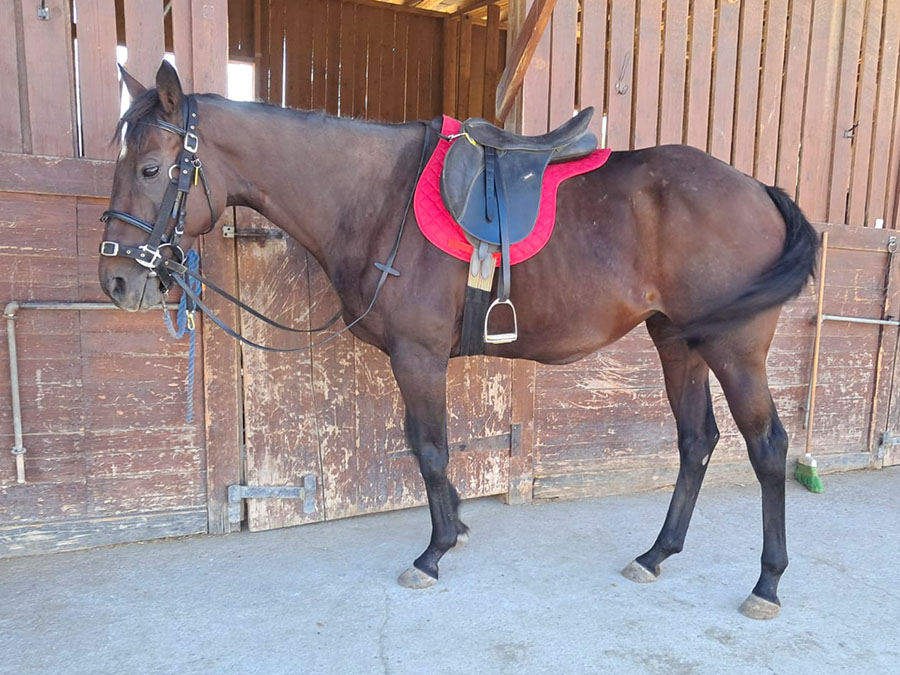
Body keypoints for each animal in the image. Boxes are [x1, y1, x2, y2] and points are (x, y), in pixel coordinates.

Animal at [98, 61, 818, 620]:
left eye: (153, 168)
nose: (116, 279)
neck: (376, 199)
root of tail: (759, 189)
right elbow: (431, 450)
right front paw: (458, 528)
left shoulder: (417, 356)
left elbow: (430, 447)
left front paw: (435, 550)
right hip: (678, 341)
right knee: (697, 441)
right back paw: (657, 553)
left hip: (734, 349)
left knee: (767, 446)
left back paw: (767, 582)